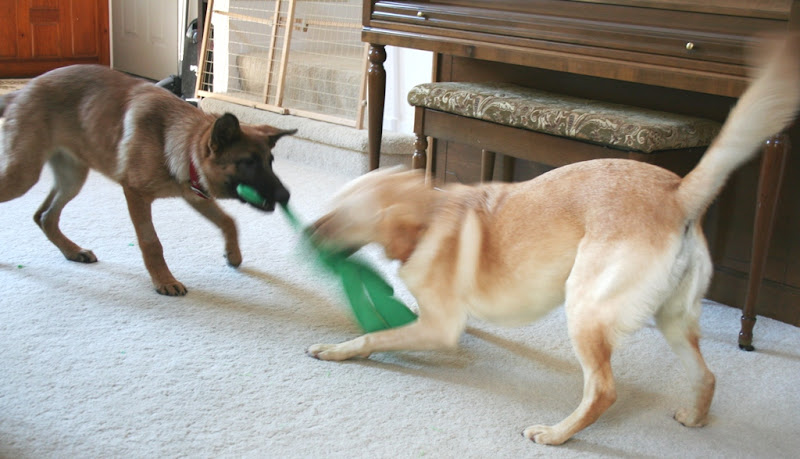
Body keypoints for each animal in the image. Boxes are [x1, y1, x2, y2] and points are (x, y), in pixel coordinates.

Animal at [1, 63, 296, 294]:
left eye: (270, 162)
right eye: (247, 163)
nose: (286, 197)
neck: (180, 143)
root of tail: (20, 91)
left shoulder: (195, 196)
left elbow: (229, 221)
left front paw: (233, 254)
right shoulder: (136, 194)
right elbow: (151, 242)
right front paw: (164, 280)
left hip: (72, 177)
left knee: (44, 216)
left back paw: (73, 251)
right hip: (24, 174)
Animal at [308, 36, 800, 446]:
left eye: (341, 217)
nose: (308, 233)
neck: (428, 218)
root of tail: (677, 192)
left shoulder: (438, 326)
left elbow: (375, 337)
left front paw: (337, 349)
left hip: (586, 306)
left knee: (603, 390)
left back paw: (557, 433)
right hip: (673, 318)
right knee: (706, 375)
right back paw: (695, 418)